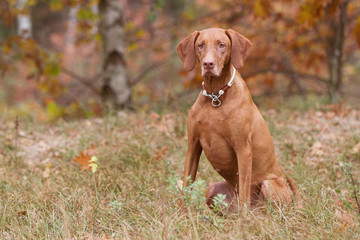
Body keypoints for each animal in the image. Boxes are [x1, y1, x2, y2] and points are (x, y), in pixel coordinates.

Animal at [176, 28, 296, 212]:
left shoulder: (243, 149)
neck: (215, 97)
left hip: (269, 185)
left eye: (222, 45)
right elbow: (186, 184)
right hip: (213, 188)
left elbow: (245, 189)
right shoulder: (193, 145)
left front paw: (243, 219)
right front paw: (181, 214)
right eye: (200, 45)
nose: (208, 64)